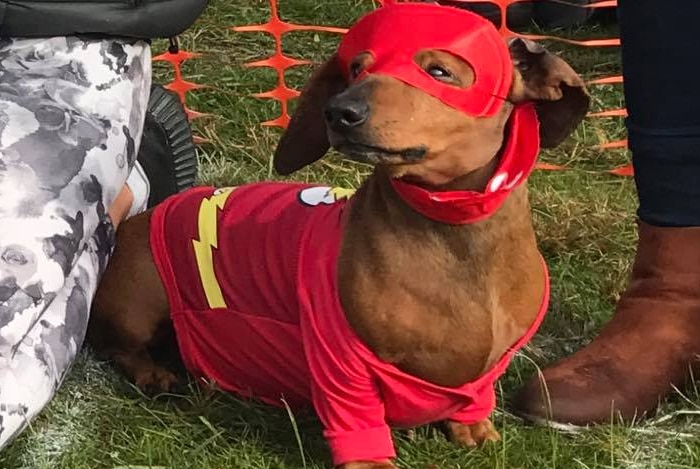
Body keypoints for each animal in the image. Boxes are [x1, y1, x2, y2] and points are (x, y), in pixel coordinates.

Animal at [89, 1, 592, 466]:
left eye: (439, 72)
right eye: (355, 67)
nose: (340, 112)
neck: (456, 237)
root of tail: (135, 221)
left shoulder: (489, 365)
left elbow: (476, 394)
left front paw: (472, 426)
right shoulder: (341, 363)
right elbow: (358, 424)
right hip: (139, 301)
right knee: (117, 346)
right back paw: (153, 372)